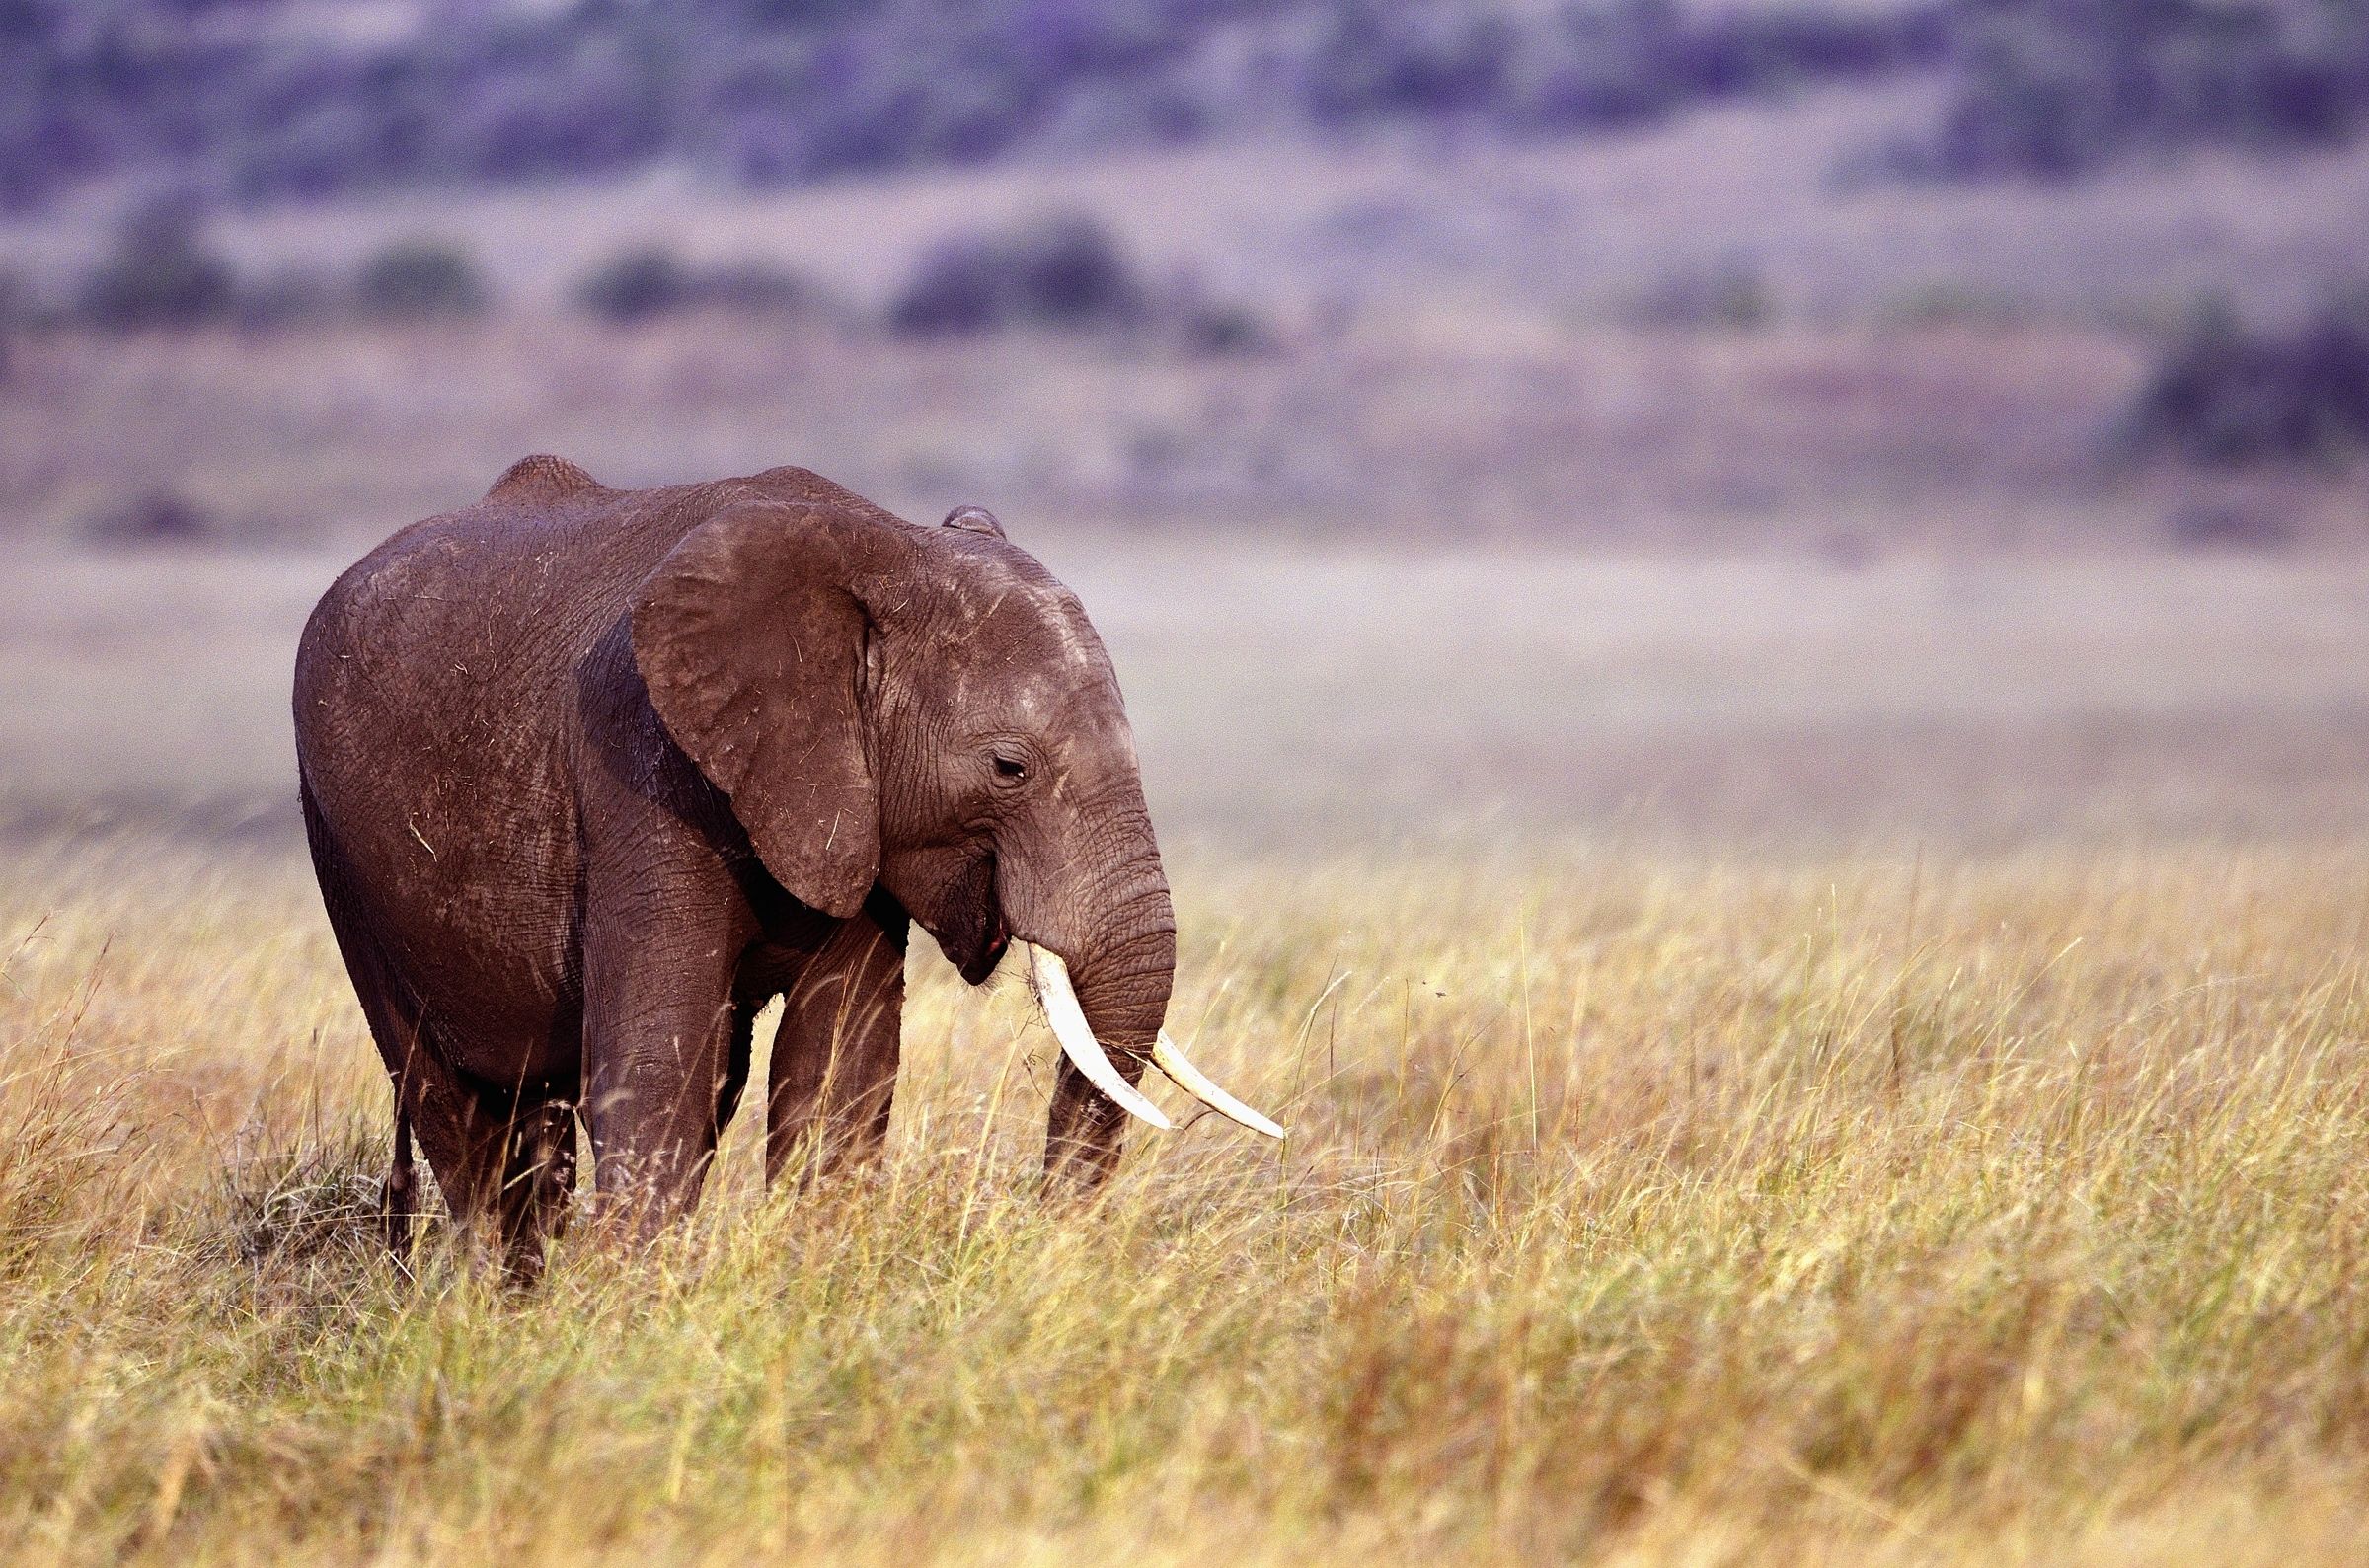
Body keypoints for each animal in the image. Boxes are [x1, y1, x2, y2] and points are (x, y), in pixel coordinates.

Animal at [293, 456, 1279, 1274]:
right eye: (1010, 767)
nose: (1049, 1245)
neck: (881, 549)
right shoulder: (644, 764)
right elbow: (660, 1064)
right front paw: (634, 1315)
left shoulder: (854, 809)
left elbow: (840, 1060)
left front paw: (814, 1281)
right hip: (342, 853)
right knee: (447, 1104)